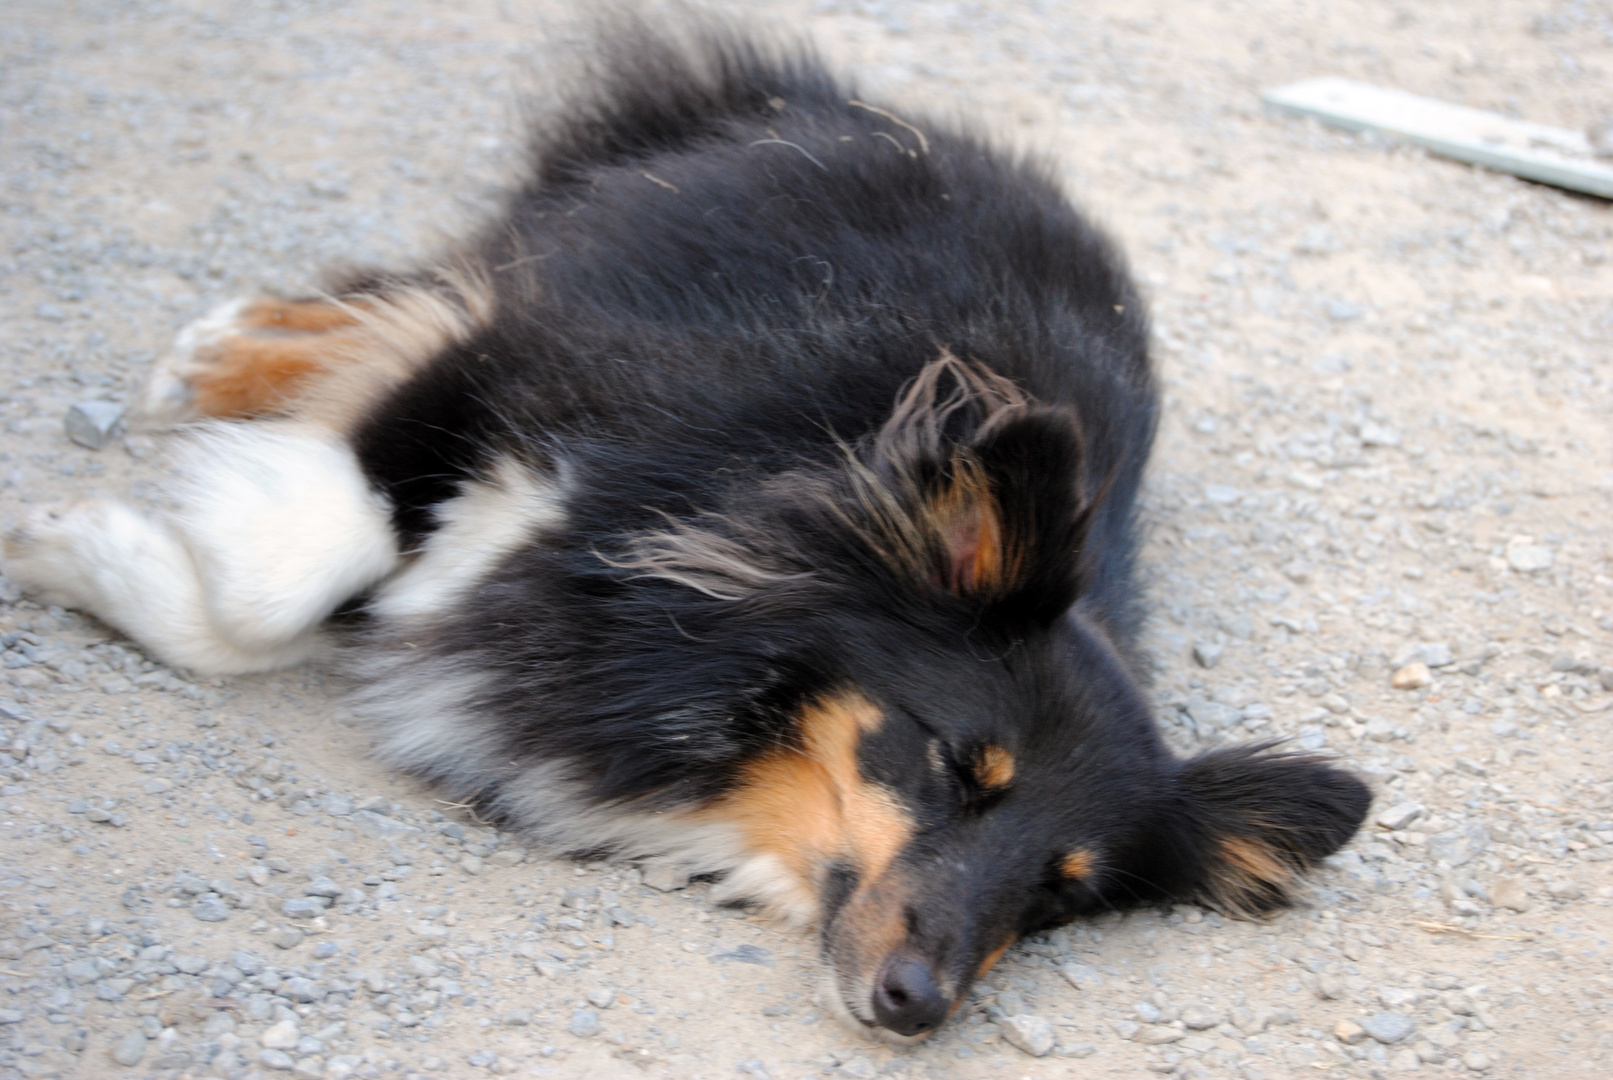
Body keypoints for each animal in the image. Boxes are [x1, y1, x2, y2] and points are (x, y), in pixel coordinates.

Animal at [3, 25, 1374, 1038]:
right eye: (951, 766)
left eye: (1060, 896)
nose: (914, 1007)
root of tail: (860, 106)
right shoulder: (525, 381)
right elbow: (275, 573)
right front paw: (66, 543)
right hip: (584, 251)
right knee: (422, 288)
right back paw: (221, 355)